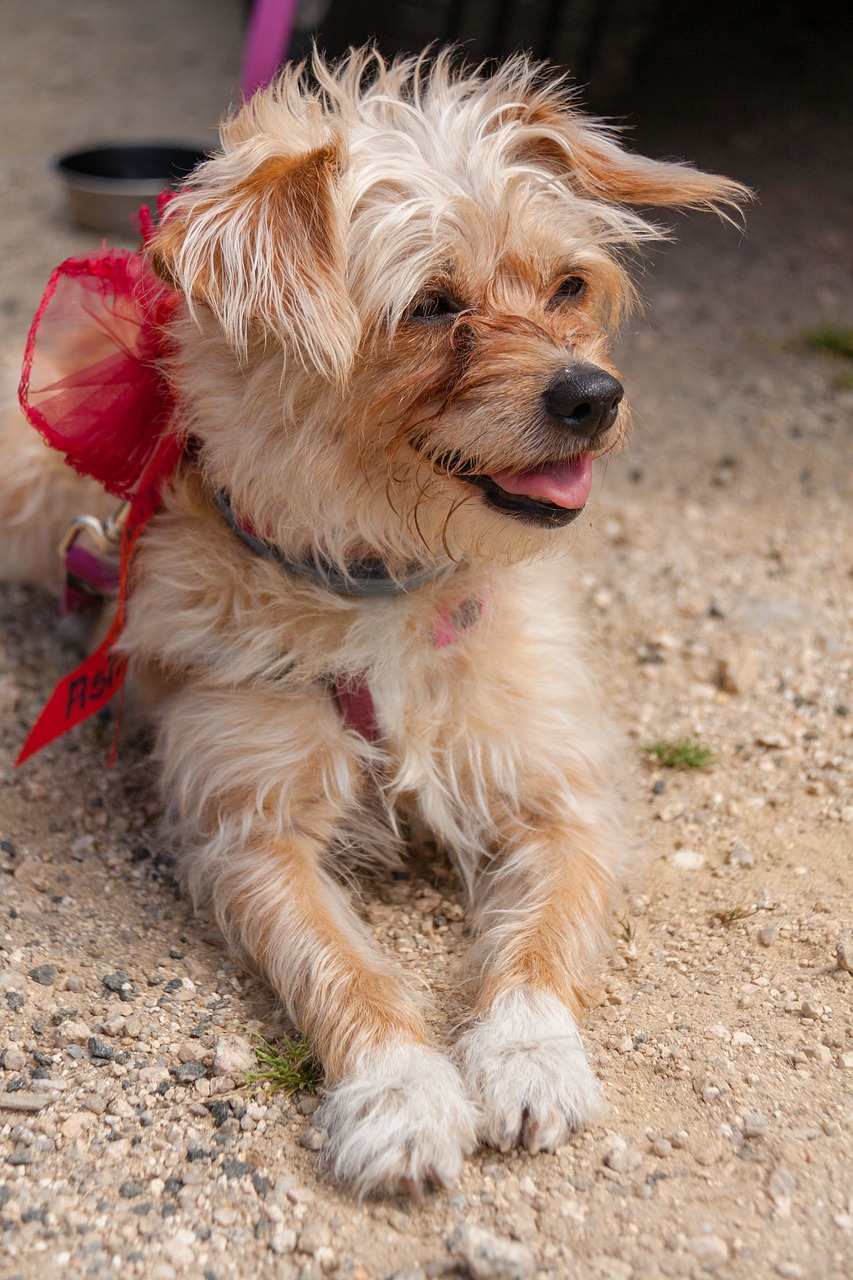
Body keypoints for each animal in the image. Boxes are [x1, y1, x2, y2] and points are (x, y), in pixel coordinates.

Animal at [0, 52, 742, 1198]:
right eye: (430, 307)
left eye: (569, 286)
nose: (593, 395)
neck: (383, 583)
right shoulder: (251, 829)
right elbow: (342, 967)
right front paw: (399, 1094)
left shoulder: (560, 794)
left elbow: (541, 938)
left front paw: (529, 1054)